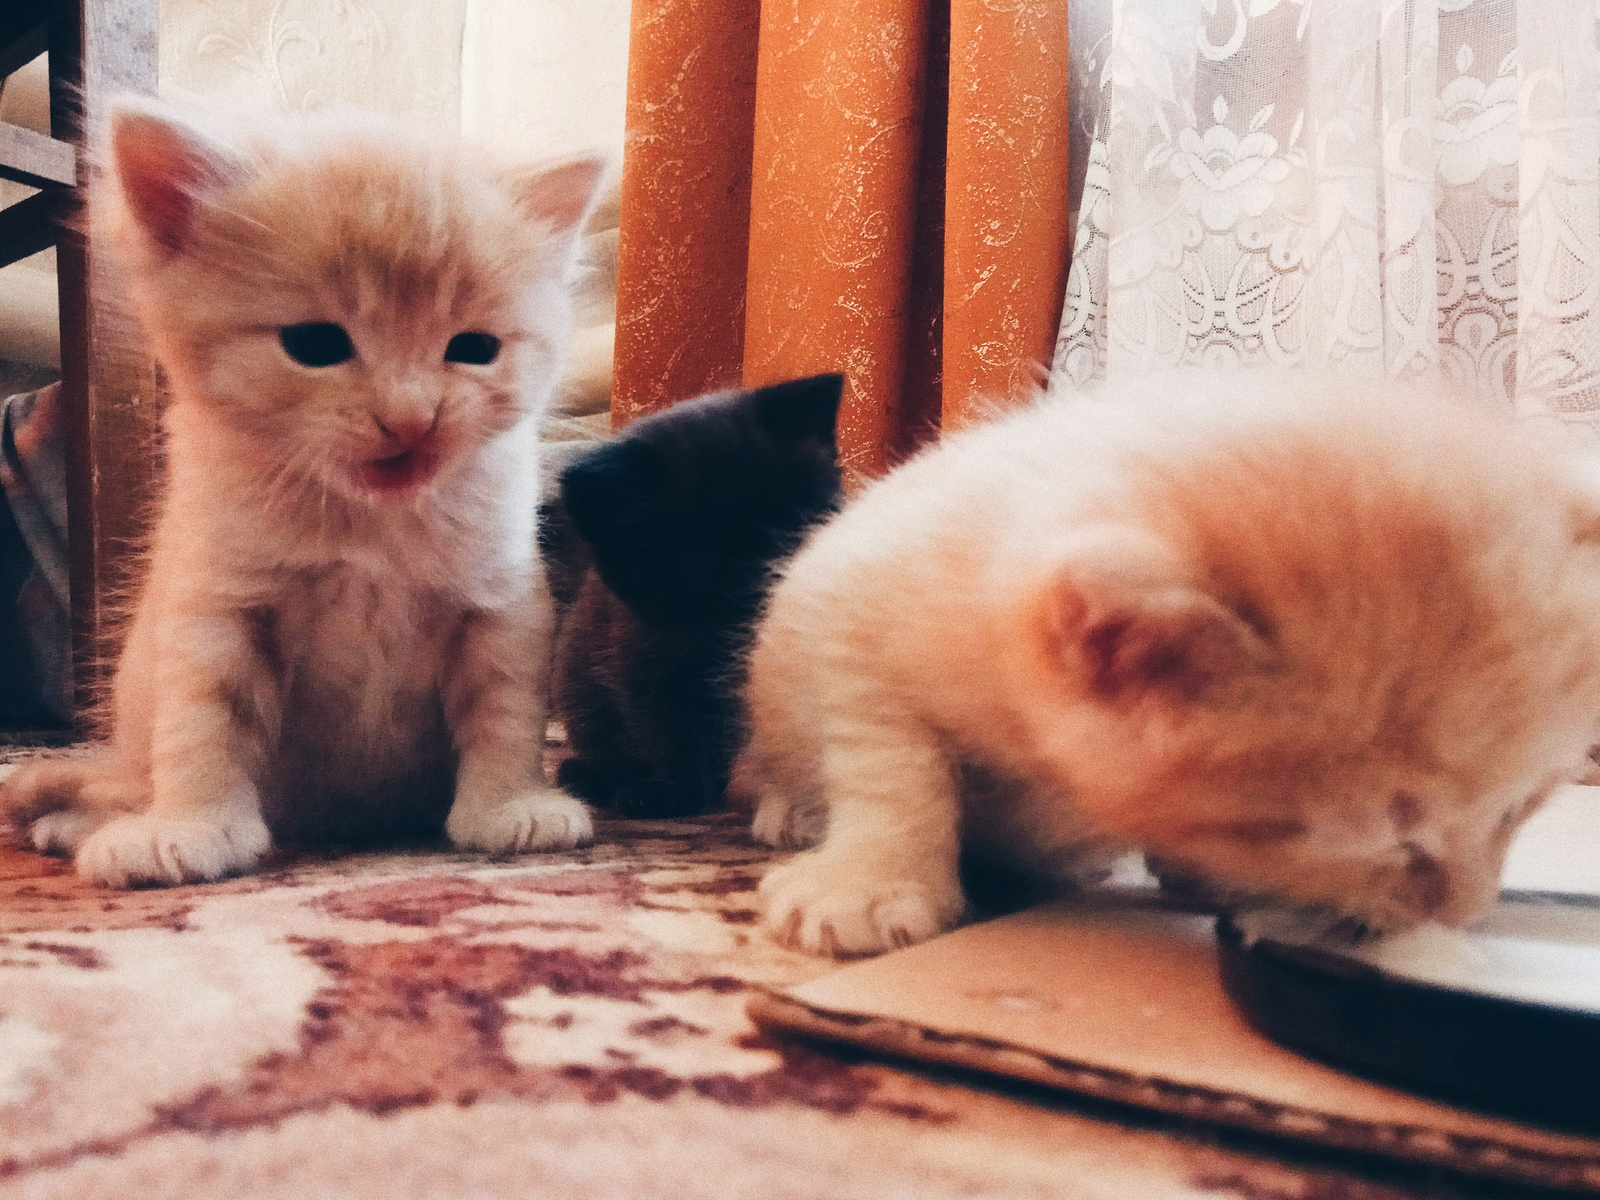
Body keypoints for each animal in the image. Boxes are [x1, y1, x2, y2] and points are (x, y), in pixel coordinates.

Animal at [0, 101, 604, 883]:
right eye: (315, 345)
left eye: (475, 349)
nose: (412, 418)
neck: (370, 523)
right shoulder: (218, 606)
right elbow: (204, 721)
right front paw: (191, 827)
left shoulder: (502, 606)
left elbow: (505, 710)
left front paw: (510, 806)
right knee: (119, 784)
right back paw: (72, 825)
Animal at [739, 374, 1600, 960]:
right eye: (1392, 842)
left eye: (1520, 810)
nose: (1466, 913)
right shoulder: (857, 595)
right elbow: (891, 762)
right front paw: (869, 883)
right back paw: (791, 810)